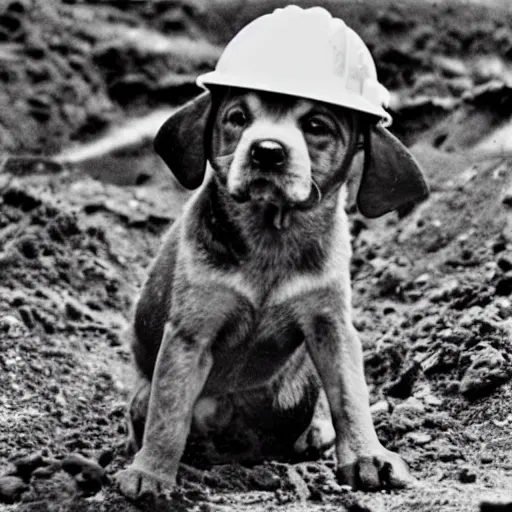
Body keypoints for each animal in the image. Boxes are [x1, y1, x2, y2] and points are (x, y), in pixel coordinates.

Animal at [115, 86, 428, 498]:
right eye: (237, 118)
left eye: (316, 125)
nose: (266, 151)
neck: (272, 236)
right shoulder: (190, 332)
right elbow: (168, 410)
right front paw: (150, 473)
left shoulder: (331, 325)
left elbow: (350, 394)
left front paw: (367, 457)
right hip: (142, 395)